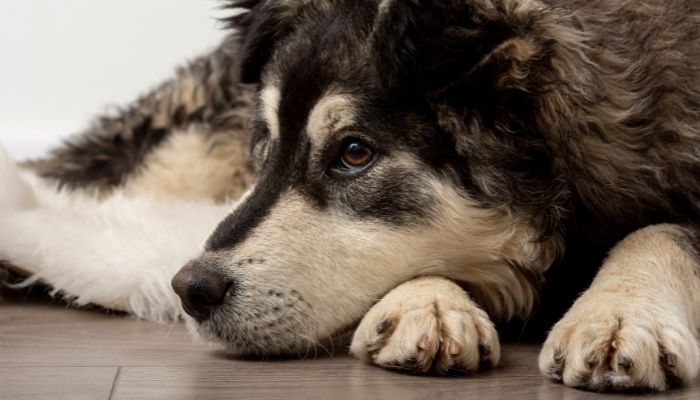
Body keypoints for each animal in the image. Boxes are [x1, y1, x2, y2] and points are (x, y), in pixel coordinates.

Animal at [1, 0, 700, 394]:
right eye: (267, 146)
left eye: (355, 153)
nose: (190, 289)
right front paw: (426, 305)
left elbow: (660, 231)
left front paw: (619, 314)